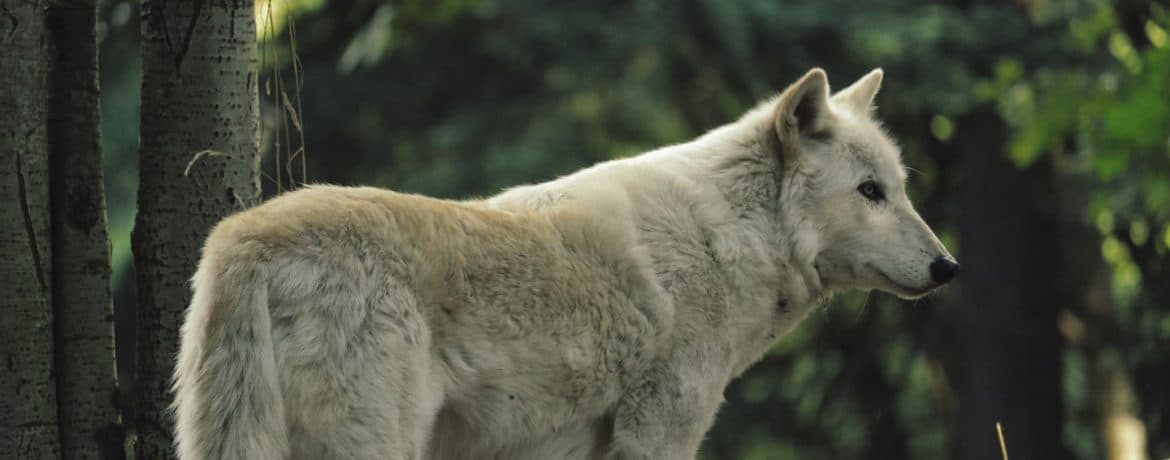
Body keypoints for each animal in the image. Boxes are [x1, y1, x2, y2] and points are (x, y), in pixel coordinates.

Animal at [172, 68, 958, 459]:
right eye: (870, 192)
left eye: (902, 188)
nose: (949, 268)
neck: (728, 238)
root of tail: (244, 237)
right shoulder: (658, 435)